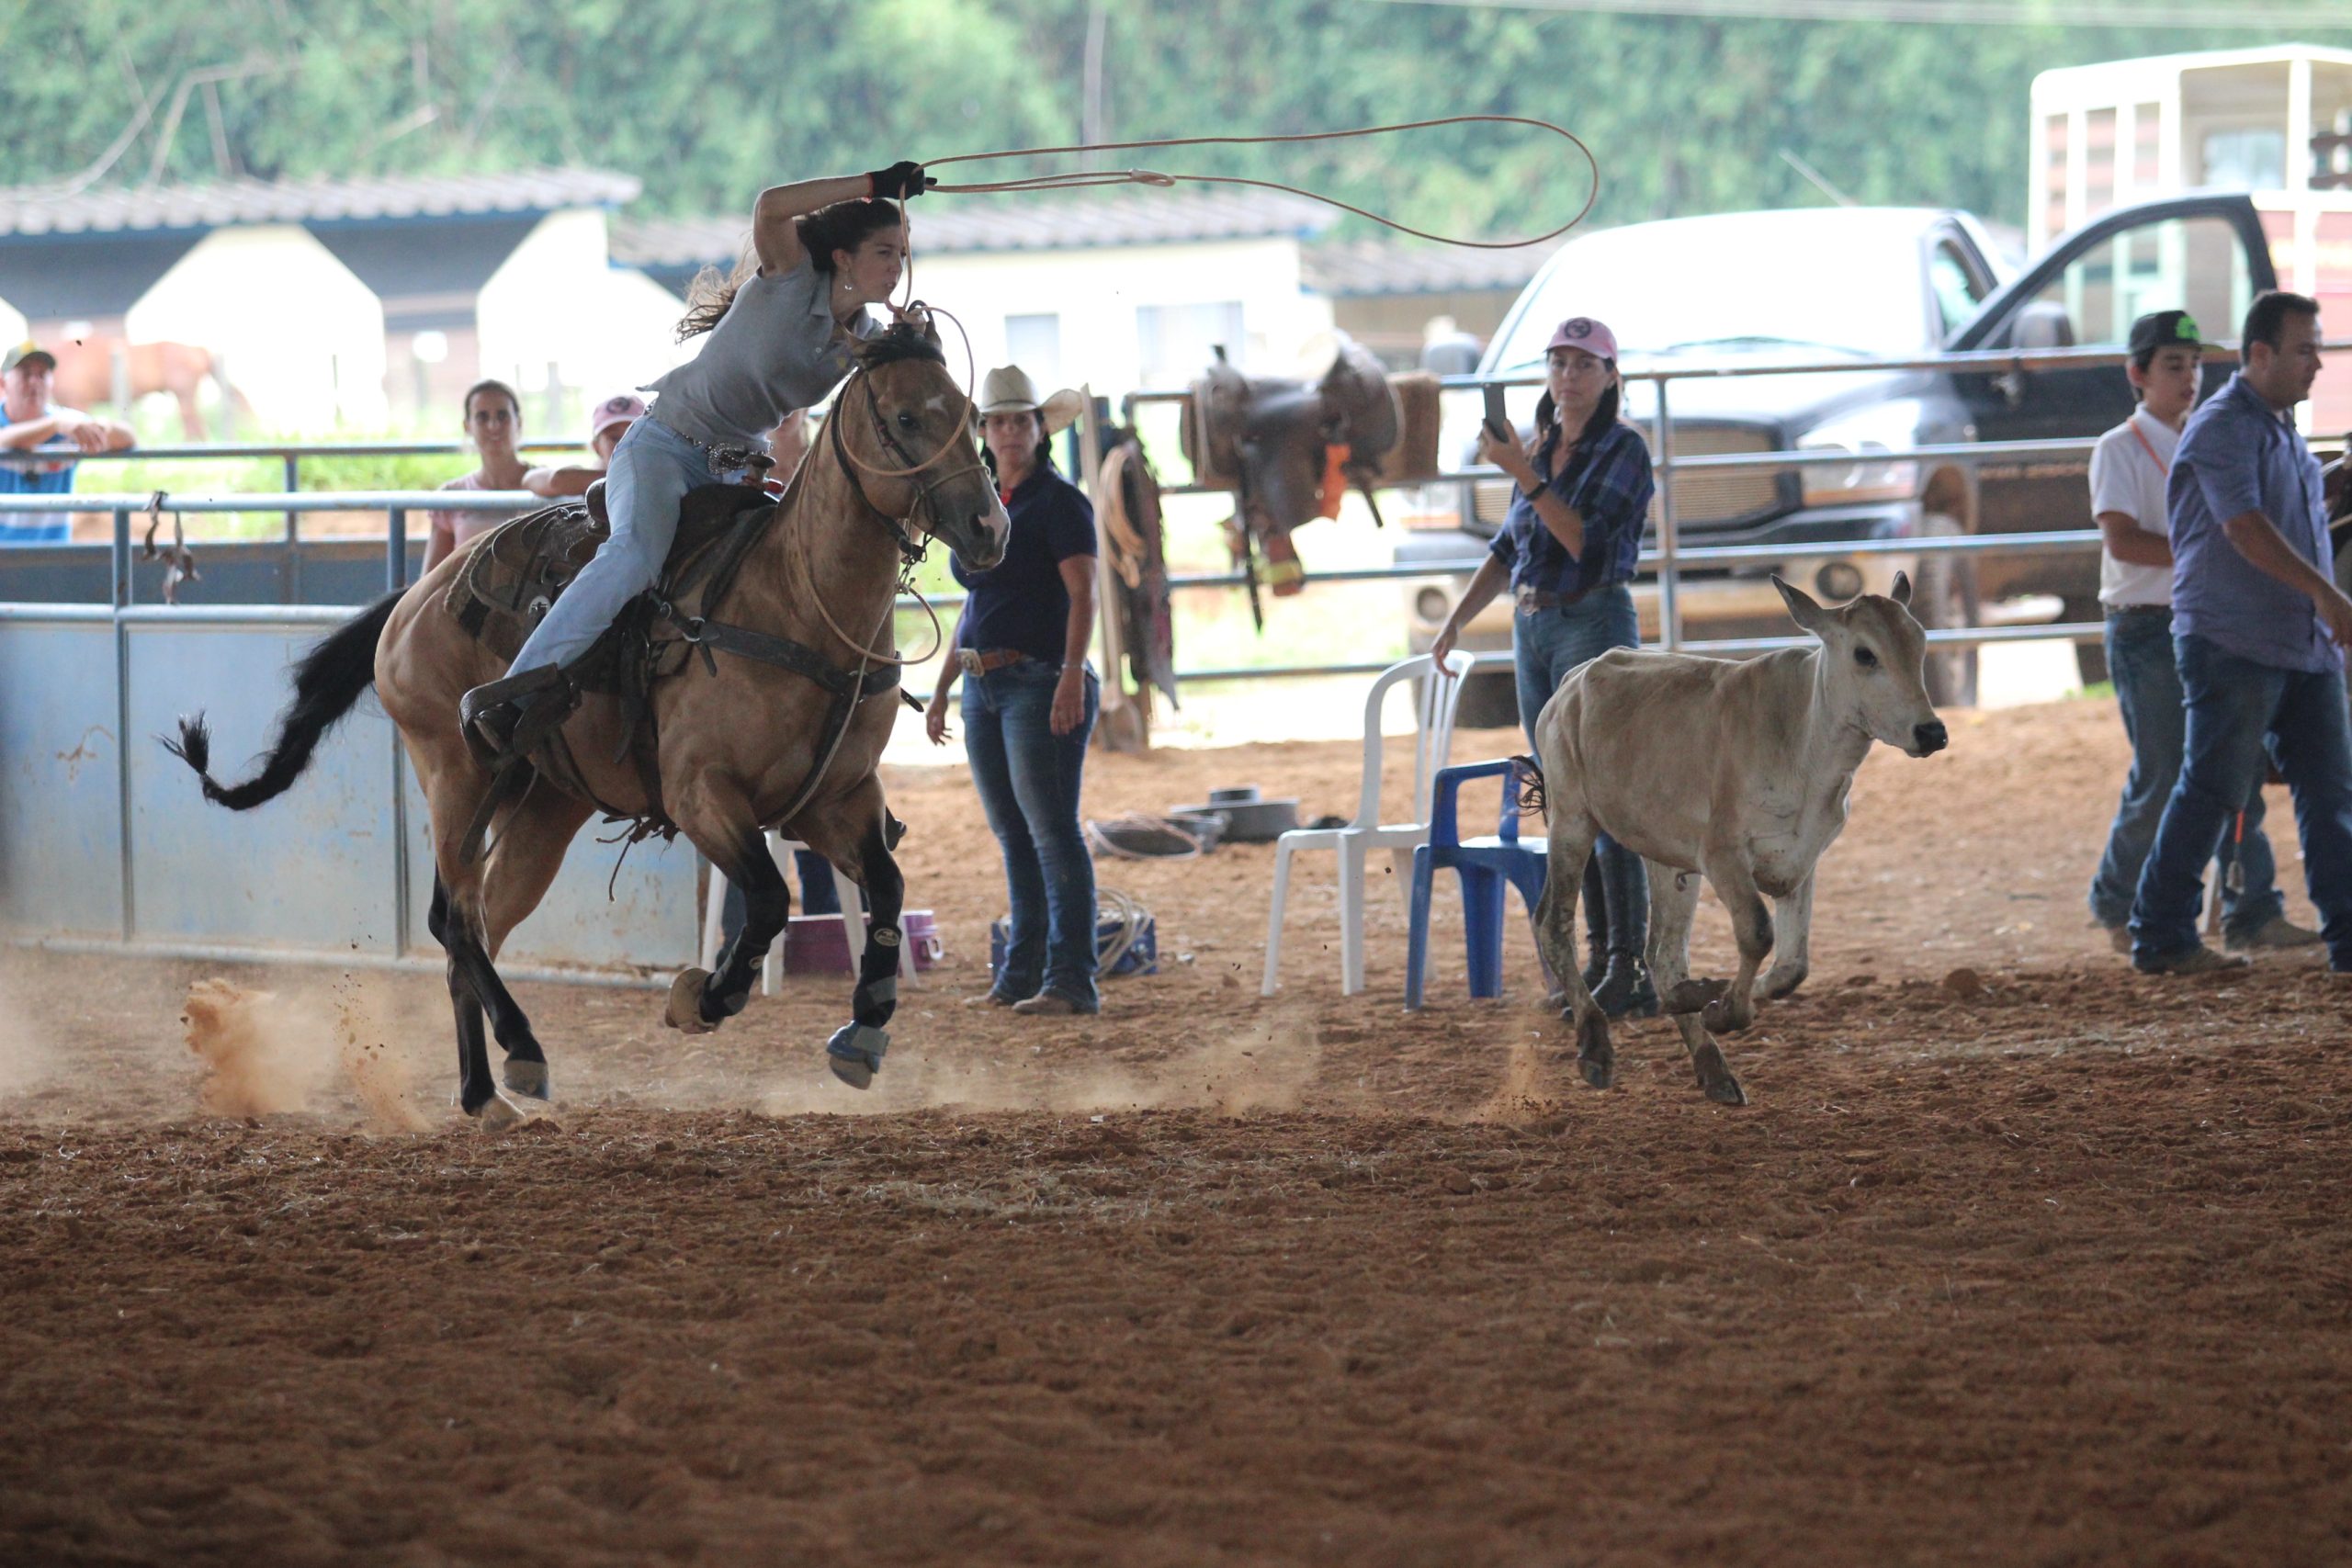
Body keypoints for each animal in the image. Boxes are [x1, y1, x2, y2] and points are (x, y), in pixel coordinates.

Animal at [163, 324, 1011, 1123]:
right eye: (905, 416)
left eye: (971, 415)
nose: (987, 527)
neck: (794, 601)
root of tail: (414, 597)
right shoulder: (704, 797)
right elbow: (770, 900)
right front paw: (703, 998)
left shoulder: (836, 799)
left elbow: (888, 886)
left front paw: (863, 1030)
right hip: (454, 775)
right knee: (454, 920)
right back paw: (521, 1048)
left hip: (541, 808)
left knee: (474, 922)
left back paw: (483, 1090)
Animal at [1523, 573, 1947, 1104]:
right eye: (1865, 654)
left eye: (1920, 643)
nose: (1931, 731)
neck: (1804, 736)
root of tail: (1571, 683)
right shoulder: (1723, 856)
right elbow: (1758, 933)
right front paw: (1725, 1008)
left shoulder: (1801, 859)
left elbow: (1791, 968)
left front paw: (1716, 999)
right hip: (1572, 819)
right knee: (1553, 925)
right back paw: (1597, 1046)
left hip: (1668, 859)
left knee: (1664, 957)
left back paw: (1709, 1056)